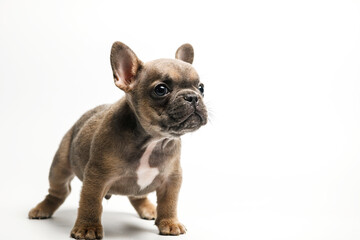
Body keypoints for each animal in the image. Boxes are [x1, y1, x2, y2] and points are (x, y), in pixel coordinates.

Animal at [28, 42, 208, 239]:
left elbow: (169, 202)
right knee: (58, 191)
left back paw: (149, 209)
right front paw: (87, 228)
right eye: (161, 89)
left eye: (201, 87)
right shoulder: (96, 178)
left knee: (138, 196)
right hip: (60, 165)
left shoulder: (172, 178)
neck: (152, 141)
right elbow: (91, 204)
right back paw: (43, 208)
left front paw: (169, 222)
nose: (193, 97)